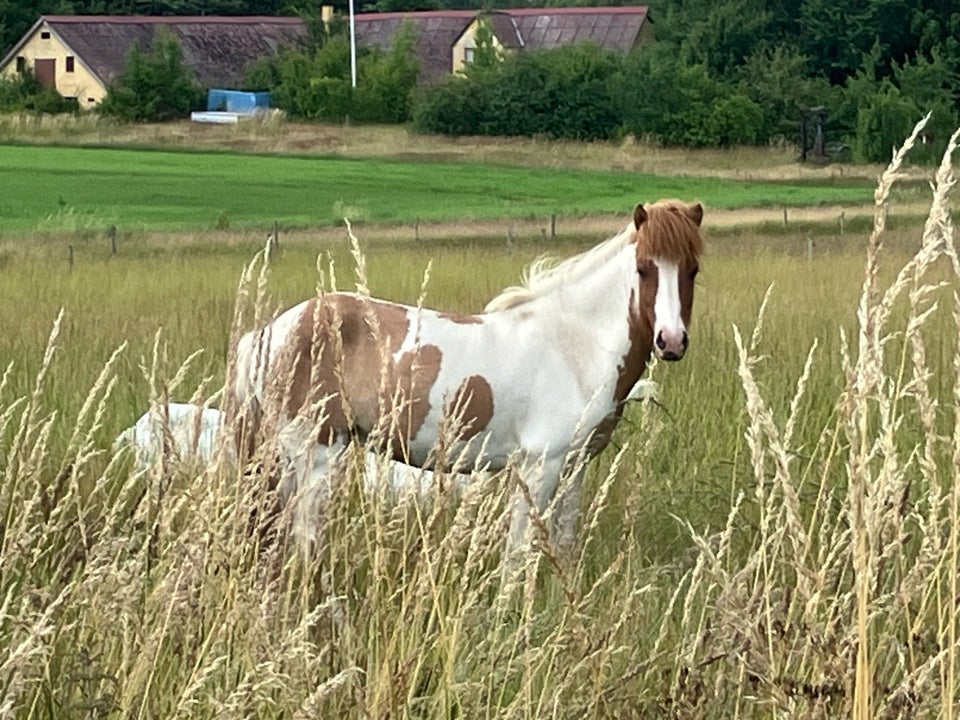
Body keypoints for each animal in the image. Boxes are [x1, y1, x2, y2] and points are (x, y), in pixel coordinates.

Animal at [229, 200, 700, 560]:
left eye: (693, 269)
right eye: (643, 268)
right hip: (313, 453)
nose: (671, 341)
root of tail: (267, 333)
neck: (574, 344)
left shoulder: (574, 466)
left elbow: (564, 546)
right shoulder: (539, 465)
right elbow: (518, 553)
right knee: (303, 541)